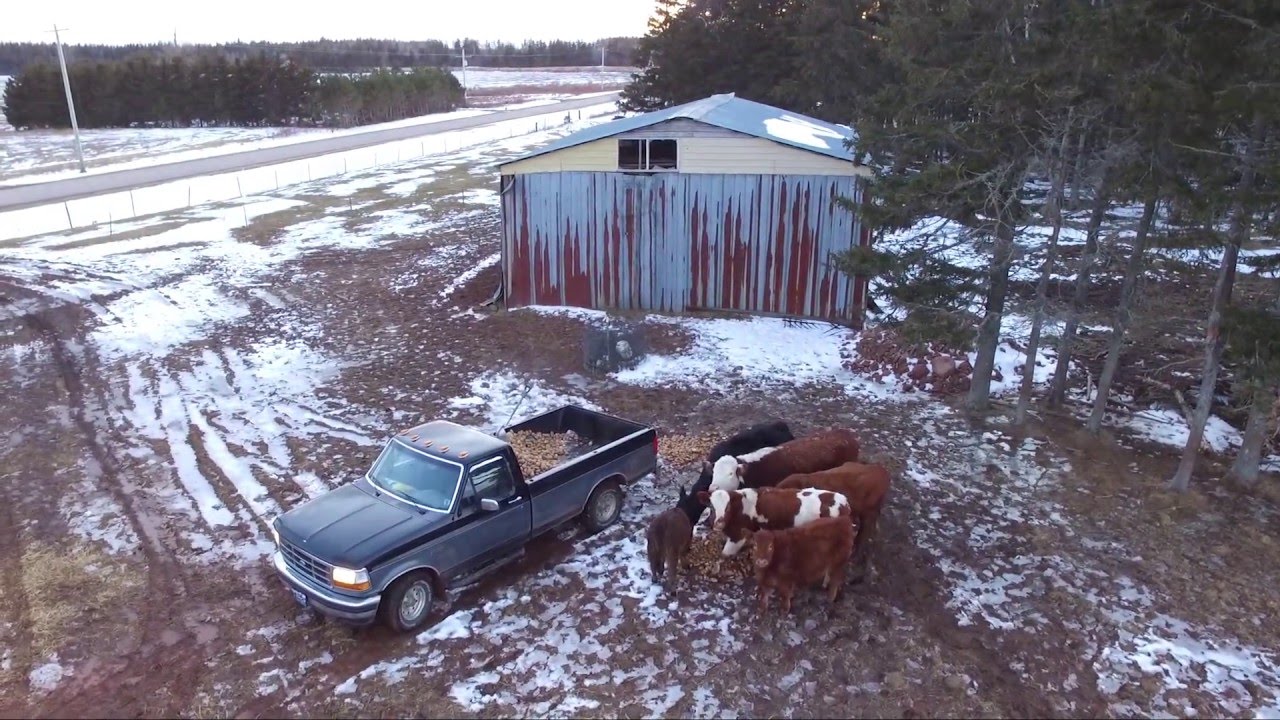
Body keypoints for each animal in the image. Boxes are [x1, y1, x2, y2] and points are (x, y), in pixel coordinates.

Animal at [696, 486, 851, 557]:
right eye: (711, 506)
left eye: (727, 507)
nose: (719, 522)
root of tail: (843, 502)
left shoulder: (737, 536)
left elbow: (725, 553)